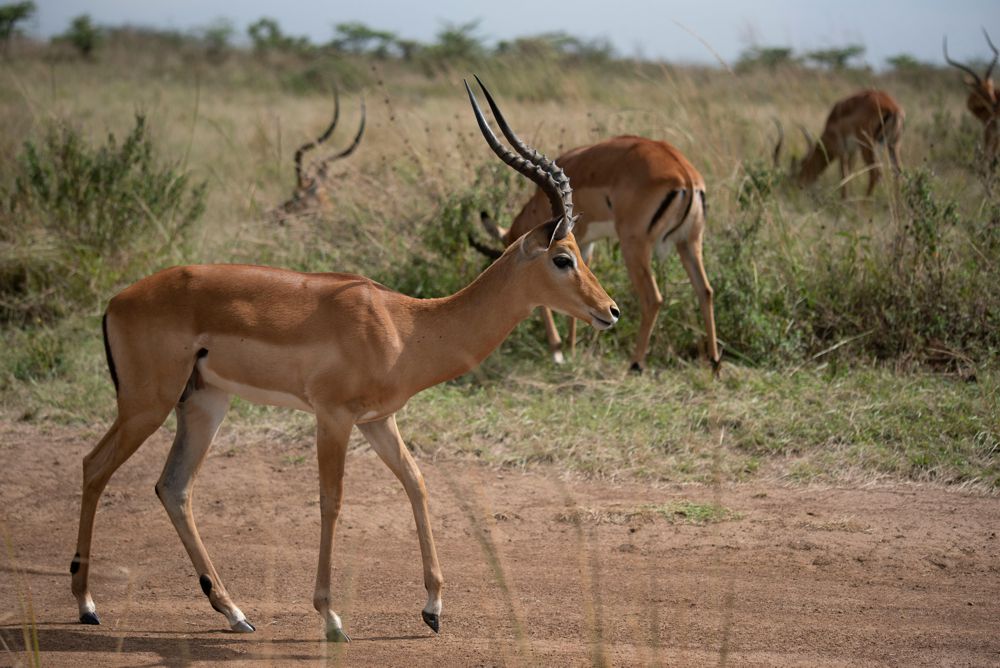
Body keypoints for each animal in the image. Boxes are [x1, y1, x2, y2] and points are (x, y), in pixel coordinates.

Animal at [479, 135, 719, 374]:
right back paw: (715, 362)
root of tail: (685, 173)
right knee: (705, 290)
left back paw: (635, 363)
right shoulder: (584, 246)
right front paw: (571, 347)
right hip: (689, 243)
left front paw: (558, 351)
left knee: (653, 298)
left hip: (634, 246)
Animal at [774, 89, 904, 199]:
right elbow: (850, 172)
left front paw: (843, 201)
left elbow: (844, 174)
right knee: (897, 172)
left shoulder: (841, 150)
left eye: (791, 183)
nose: (792, 194)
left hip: (867, 146)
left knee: (876, 173)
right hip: (893, 145)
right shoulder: (852, 151)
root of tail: (893, 108)